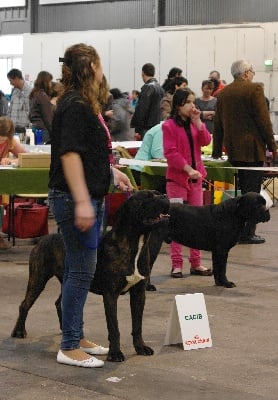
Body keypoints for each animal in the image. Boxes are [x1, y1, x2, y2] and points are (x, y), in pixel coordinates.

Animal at [11, 191, 169, 362]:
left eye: (158, 194)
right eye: (147, 197)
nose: (165, 196)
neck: (135, 242)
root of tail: (43, 239)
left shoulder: (139, 293)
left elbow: (137, 325)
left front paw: (140, 347)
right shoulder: (110, 295)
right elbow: (114, 327)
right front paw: (115, 353)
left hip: (69, 281)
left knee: (60, 303)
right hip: (38, 278)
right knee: (24, 304)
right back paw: (19, 331)